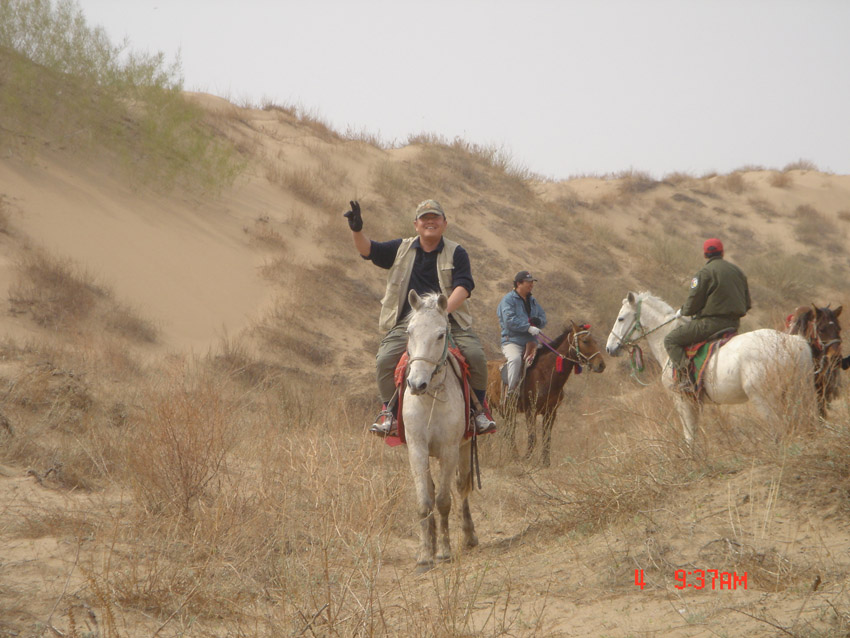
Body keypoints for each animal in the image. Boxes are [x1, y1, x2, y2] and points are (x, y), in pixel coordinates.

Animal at [404, 290, 476, 576]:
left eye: (440, 335)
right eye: (410, 332)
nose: (416, 384)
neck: (430, 397)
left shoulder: (449, 449)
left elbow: (445, 500)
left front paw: (444, 552)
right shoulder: (417, 449)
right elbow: (425, 501)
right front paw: (426, 554)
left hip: (464, 450)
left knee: (462, 488)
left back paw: (469, 536)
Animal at [484, 322, 604, 468]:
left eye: (595, 341)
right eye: (585, 341)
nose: (601, 364)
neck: (544, 373)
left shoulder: (550, 412)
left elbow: (547, 437)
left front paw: (546, 463)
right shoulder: (531, 411)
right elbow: (532, 437)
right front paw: (527, 460)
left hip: (507, 412)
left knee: (509, 432)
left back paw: (512, 456)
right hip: (489, 407)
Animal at [604, 292, 816, 448]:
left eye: (621, 318)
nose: (609, 348)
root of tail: (793, 341)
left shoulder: (682, 400)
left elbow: (689, 434)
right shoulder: (694, 402)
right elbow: (694, 431)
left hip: (765, 399)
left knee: (779, 428)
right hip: (797, 394)